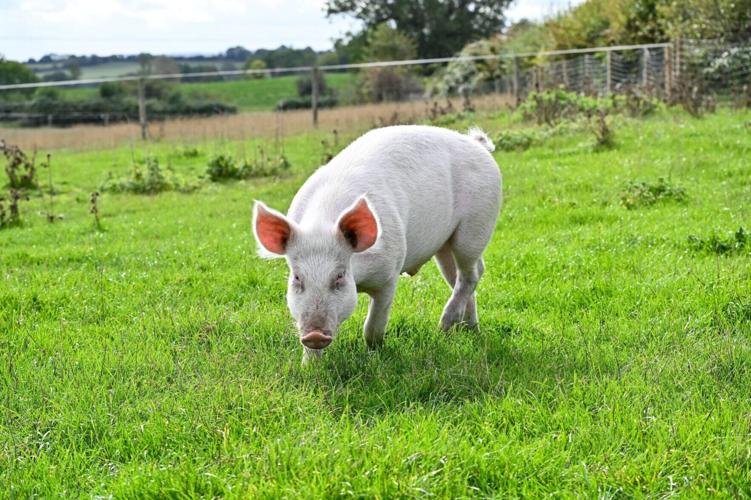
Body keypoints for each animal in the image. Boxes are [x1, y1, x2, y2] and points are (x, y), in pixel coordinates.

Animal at [252, 125, 502, 362]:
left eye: (340, 276)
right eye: (296, 278)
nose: (314, 335)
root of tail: (477, 144)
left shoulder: (389, 274)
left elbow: (373, 326)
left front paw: (376, 354)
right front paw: (310, 366)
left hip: (475, 226)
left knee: (471, 274)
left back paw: (445, 326)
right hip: (445, 244)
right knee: (462, 276)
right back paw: (470, 329)